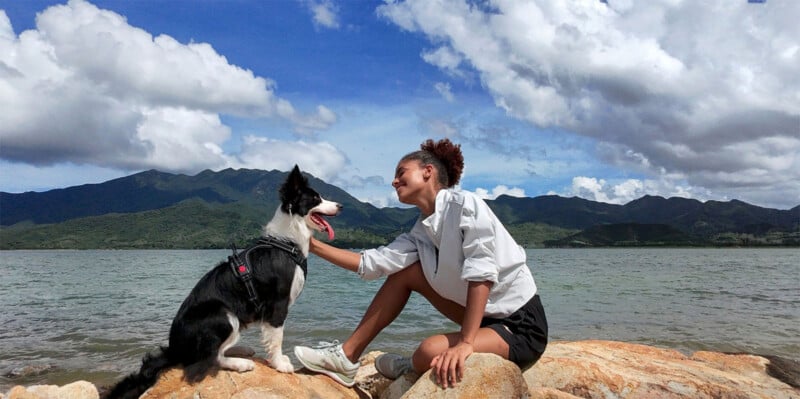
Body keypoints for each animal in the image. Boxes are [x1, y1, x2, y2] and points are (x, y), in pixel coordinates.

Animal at [106, 166, 340, 399]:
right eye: (315, 199)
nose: (341, 205)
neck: (286, 242)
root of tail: (175, 348)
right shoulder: (277, 304)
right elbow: (276, 338)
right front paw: (280, 364)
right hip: (223, 314)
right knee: (211, 357)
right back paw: (241, 363)